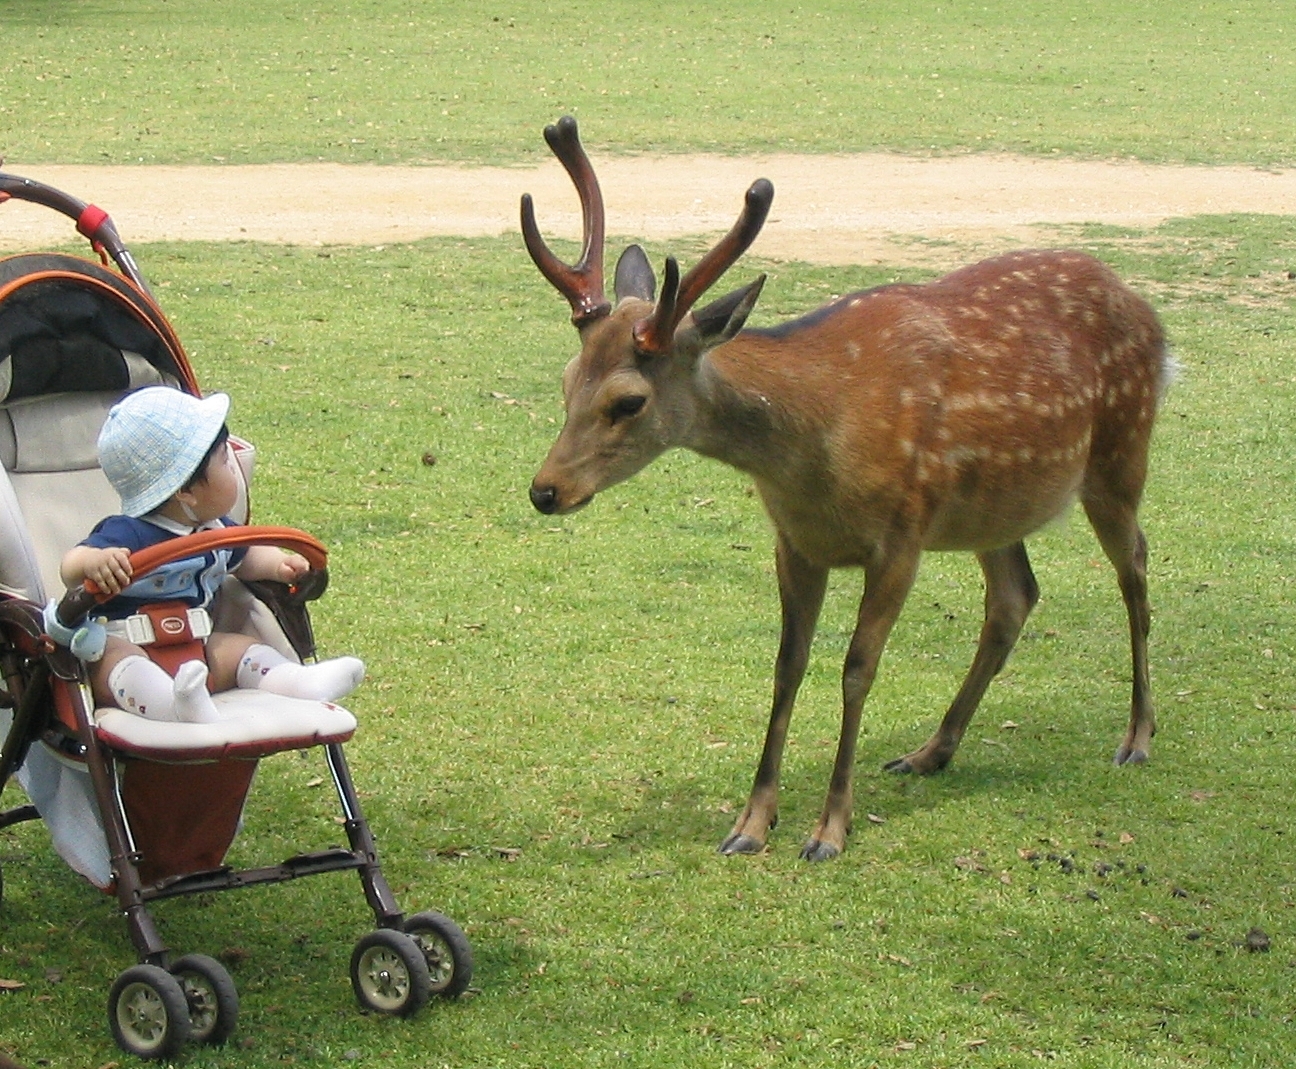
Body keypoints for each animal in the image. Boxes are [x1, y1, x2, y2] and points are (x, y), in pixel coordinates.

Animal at [520, 116, 1171, 860]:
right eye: (568, 379)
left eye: (628, 401)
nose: (545, 490)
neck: (815, 450)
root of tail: (1149, 313)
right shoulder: (796, 542)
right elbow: (788, 664)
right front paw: (751, 823)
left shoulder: (902, 536)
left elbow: (858, 667)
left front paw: (829, 828)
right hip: (992, 506)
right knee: (1015, 596)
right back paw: (931, 750)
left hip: (1120, 452)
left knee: (1135, 567)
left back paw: (1137, 736)